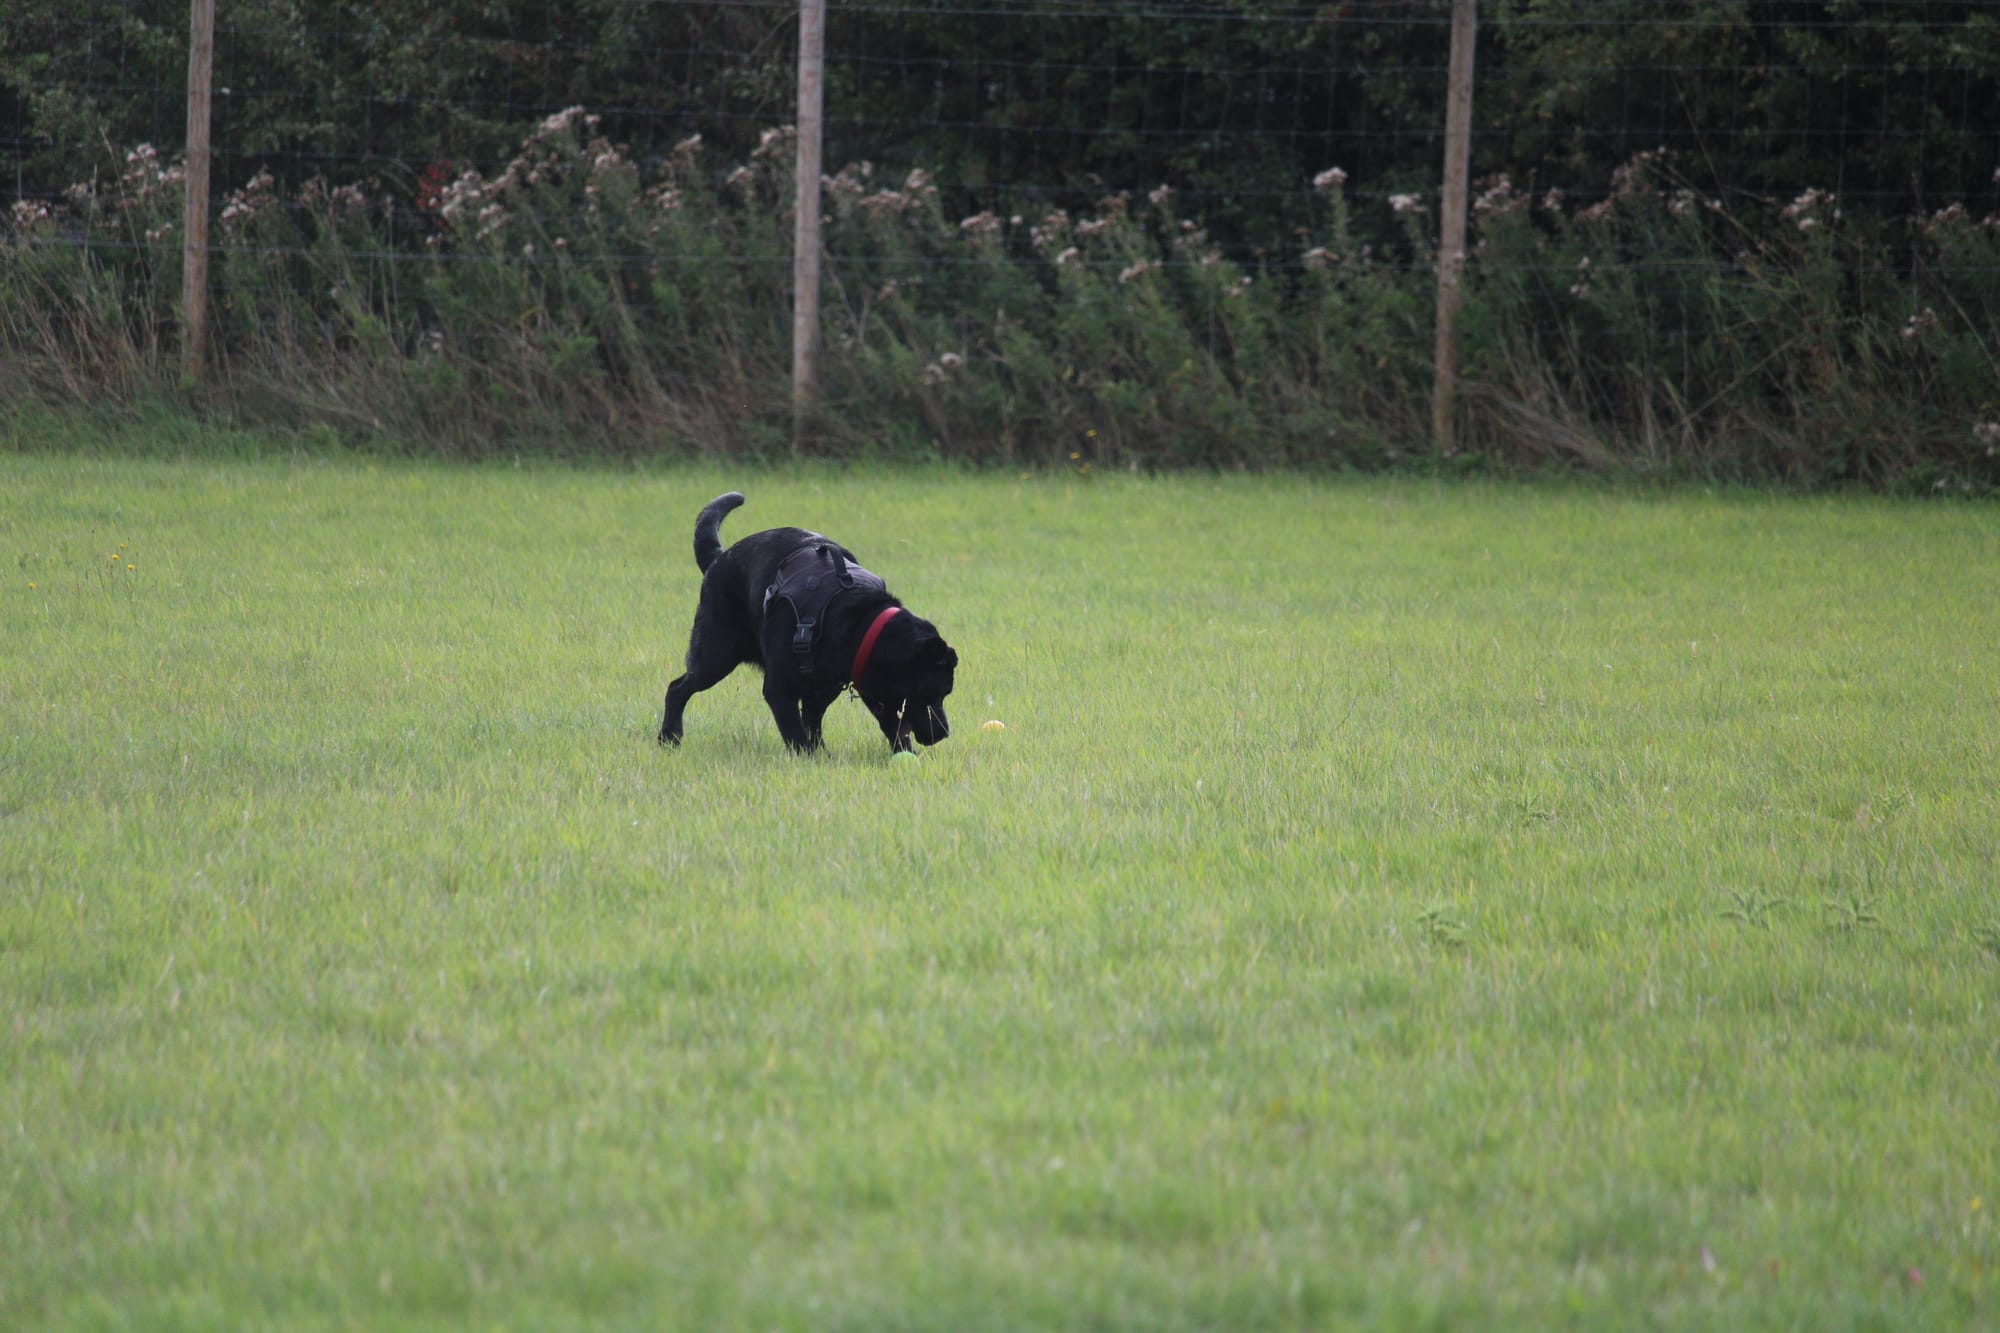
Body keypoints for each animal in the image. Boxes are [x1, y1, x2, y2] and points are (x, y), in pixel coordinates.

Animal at [658, 492, 958, 754]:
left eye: (945, 694)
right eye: (933, 692)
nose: (944, 732)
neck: (858, 622)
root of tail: (718, 559)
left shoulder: (838, 687)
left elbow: (820, 723)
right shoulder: (779, 688)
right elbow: (796, 732)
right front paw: (809, 757)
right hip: (716, 654)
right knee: (678, 688)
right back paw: (669, 737)